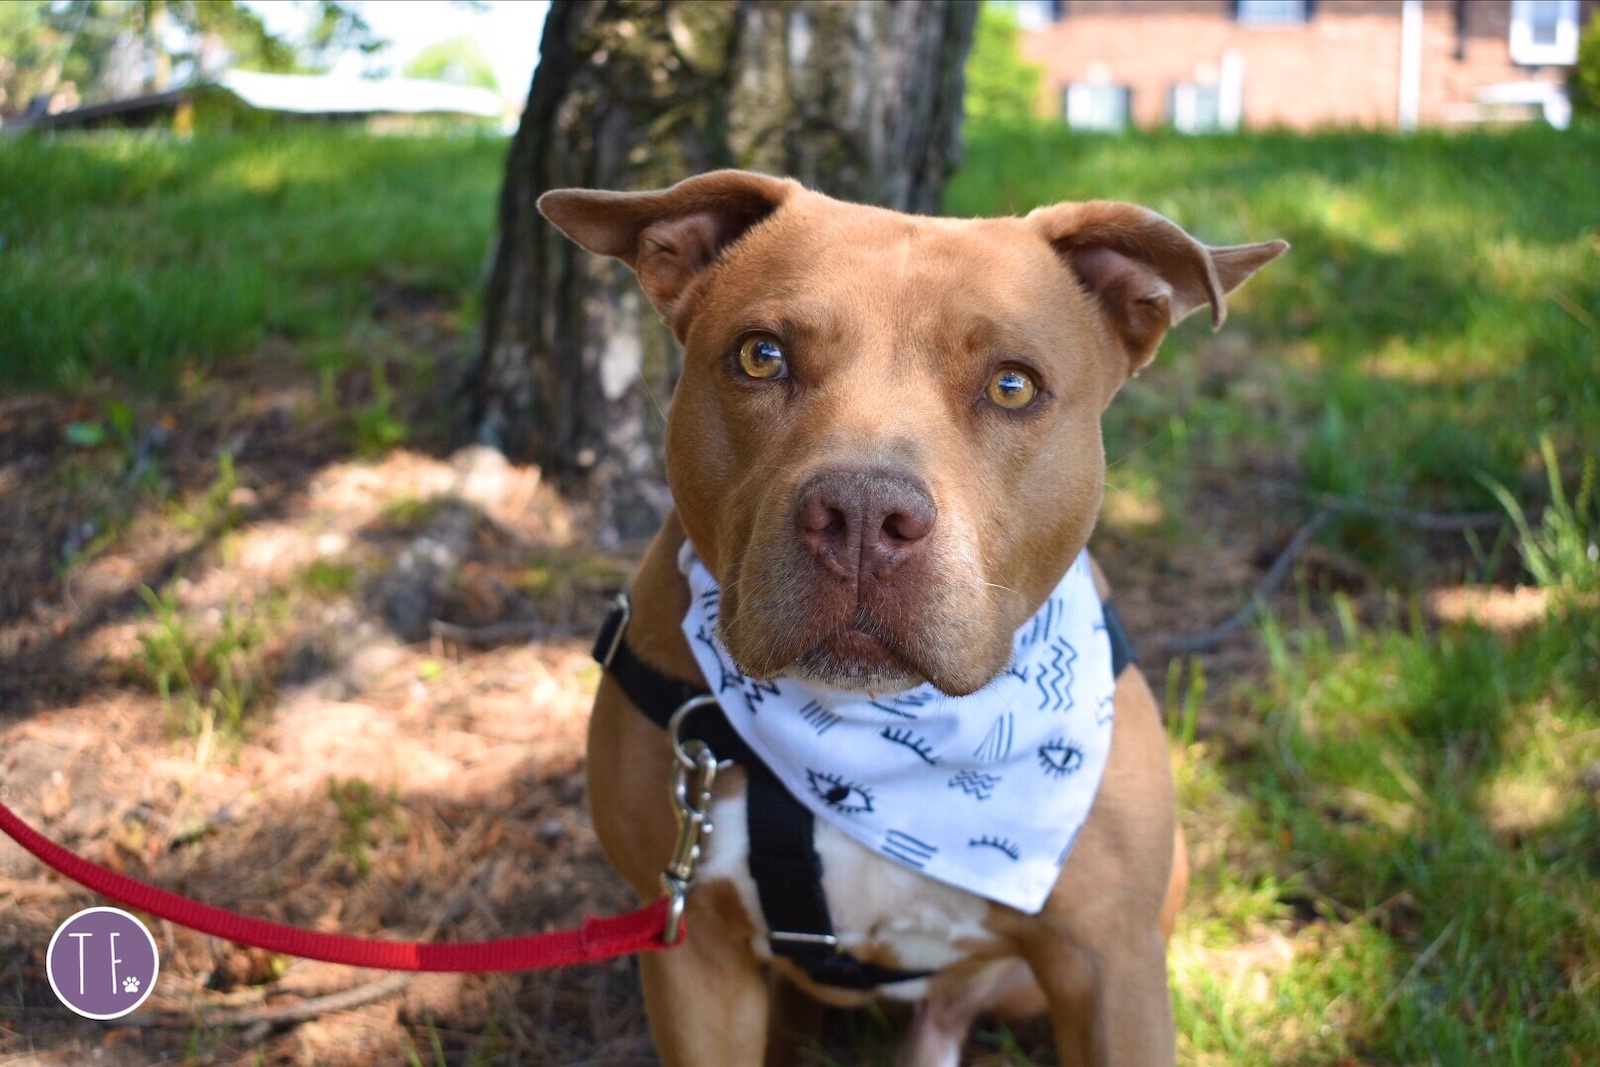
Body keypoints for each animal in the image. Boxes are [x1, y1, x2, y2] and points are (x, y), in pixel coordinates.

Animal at [540, 171, 1286, 1062]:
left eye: (1012, 385)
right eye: (762, 355)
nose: (863, 515)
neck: (877, 739)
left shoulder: (1111, 963)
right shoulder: (693, 955)